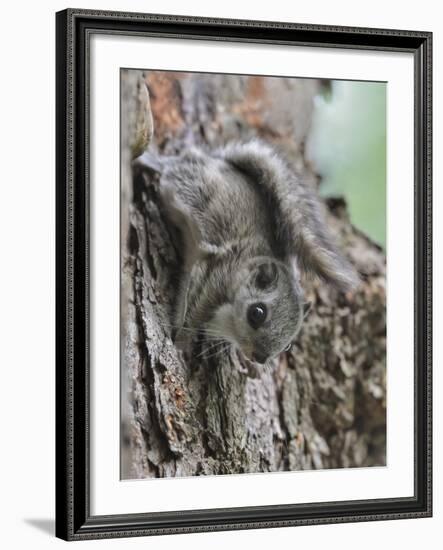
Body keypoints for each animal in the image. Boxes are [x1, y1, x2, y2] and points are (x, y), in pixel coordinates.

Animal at [139, 141, 360, 366]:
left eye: (289, 344)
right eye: (257, 313)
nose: (260, 358)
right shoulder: (215, 277)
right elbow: (192, 310)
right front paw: (181, 343)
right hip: (190, 187)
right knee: (171, 166)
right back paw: (151, 160)